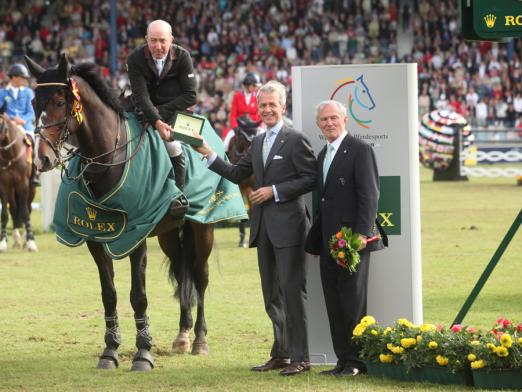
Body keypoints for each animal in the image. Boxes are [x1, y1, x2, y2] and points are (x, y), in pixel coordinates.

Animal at [0, 112, 37, 251]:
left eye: (1, 125)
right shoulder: (4, 185)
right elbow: (5, 213)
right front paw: (3, 242)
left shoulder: (23, 184)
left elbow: (25, 212)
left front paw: (31, 242)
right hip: (12, 190)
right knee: (14, 209)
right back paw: (16, 239)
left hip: (31, 189)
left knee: (27, 208)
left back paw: (27, 237)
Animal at [25, 54, 212, 370]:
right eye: (33, 103)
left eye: (60, 102)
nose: (42, 159)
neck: (109, 158)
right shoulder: (94, 238)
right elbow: (109, 294)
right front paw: (110, 350)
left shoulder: (136, 236)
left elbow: (138, 297)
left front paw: (143, 353)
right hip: (170, 235)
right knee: (181, 270)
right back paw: (183, 335)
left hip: (203, 228)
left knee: (200, 276)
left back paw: (199, 339)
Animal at [226, 115, 262, 247]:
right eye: (242, 136)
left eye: (256, 134)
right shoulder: (240, 187)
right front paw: (242, 239)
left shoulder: (256, 187)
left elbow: (253, 210)